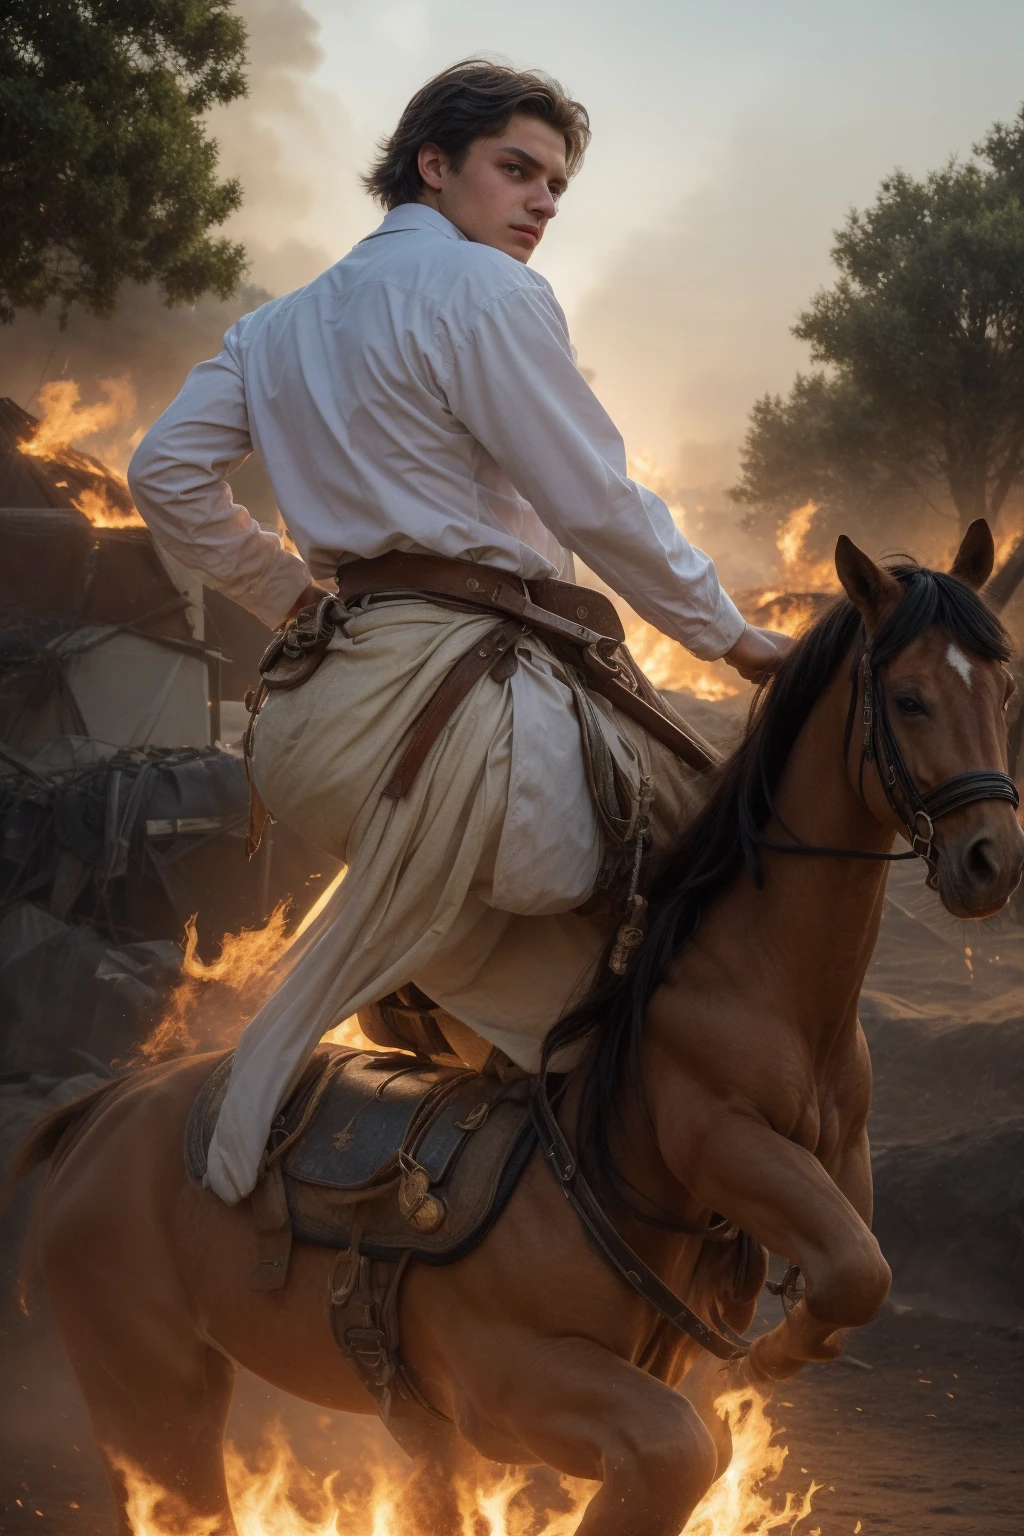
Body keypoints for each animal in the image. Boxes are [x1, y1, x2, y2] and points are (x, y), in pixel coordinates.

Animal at [8, 522, 1024, 1529]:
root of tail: (103, 1111)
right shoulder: (544, 1364)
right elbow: (752, 1378)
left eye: (1003, 689)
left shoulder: (840, 1158)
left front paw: (791, 1343)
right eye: (909, 699)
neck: (755, 991)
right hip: (151, 1388)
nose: (991, 860)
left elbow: (861, 1270)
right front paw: (777, 1353)